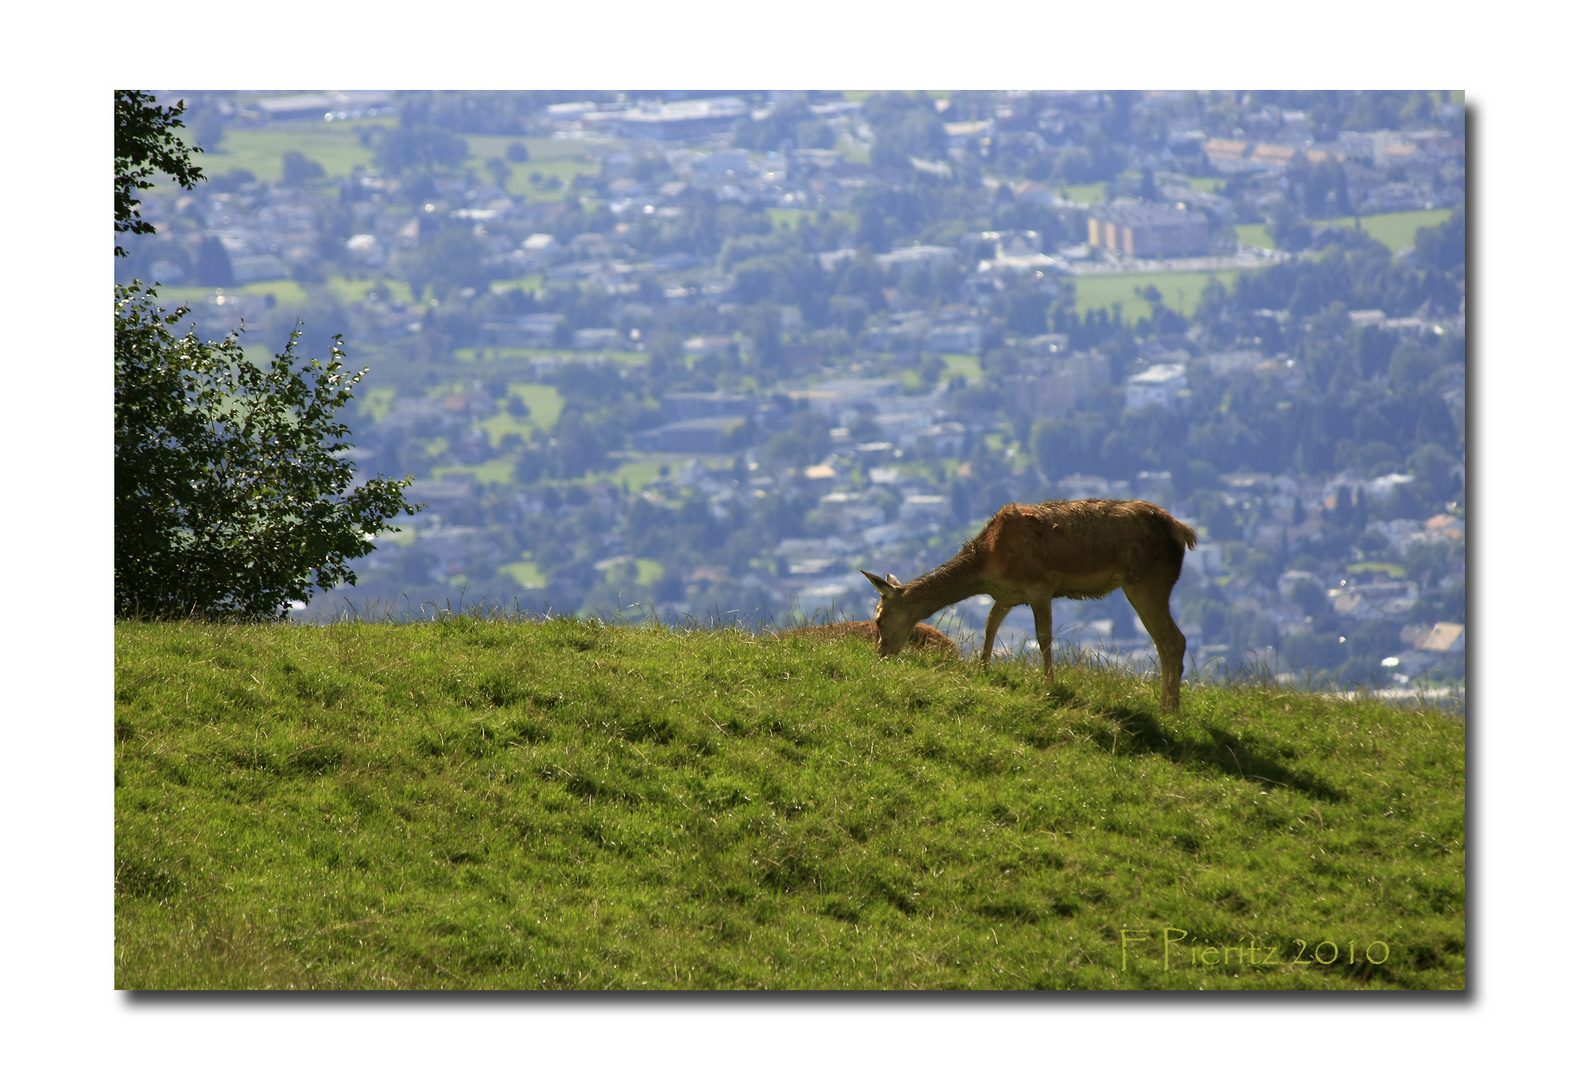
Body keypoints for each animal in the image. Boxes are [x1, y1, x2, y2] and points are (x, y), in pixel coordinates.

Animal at [865, 498, 1194, 716]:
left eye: (879, 619)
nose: (880, 654)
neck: (988, 563)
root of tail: (1183, 531)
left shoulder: (1039, 586)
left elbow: (1043, 637)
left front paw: (1050, 686)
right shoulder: (1007, 594)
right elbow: (990, 625)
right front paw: (981, 670)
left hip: (1148, 581)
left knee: (1174, 640)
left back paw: (1171, 711)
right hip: (1140, 585)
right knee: (1163, 642)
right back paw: (1164, 705)